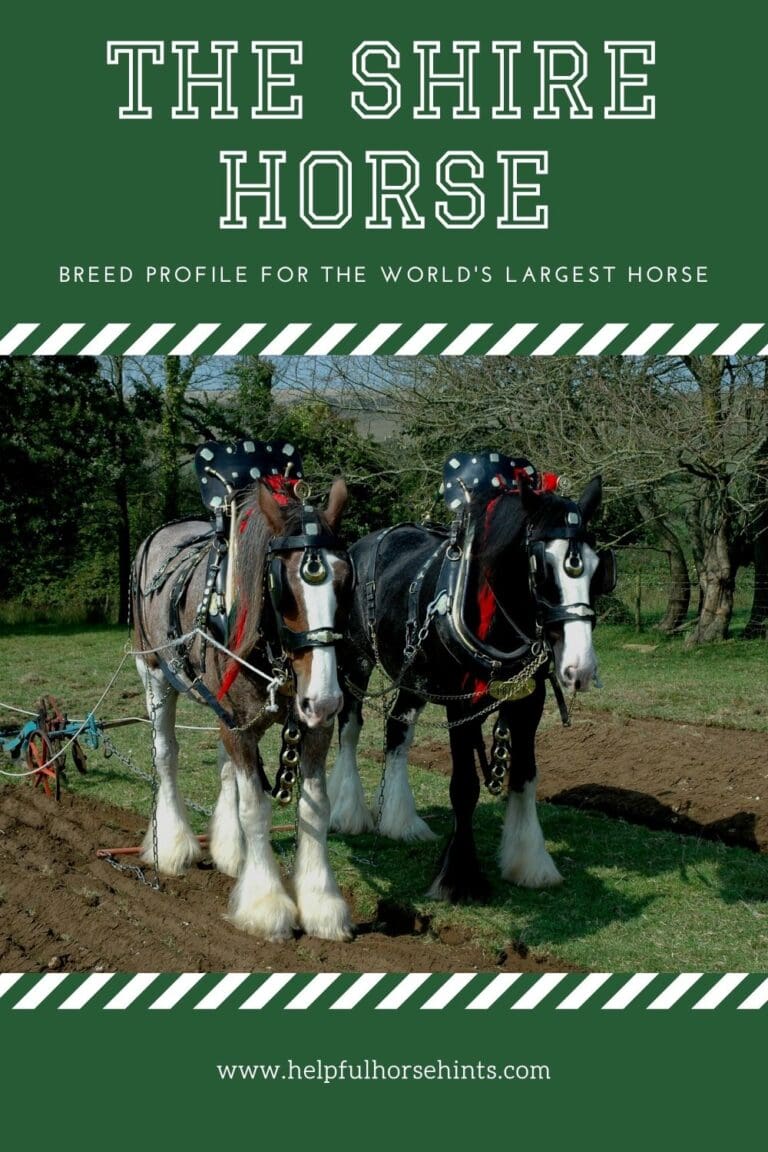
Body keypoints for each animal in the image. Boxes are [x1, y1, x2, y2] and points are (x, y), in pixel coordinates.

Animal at [131, 443, 353, 942]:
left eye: (345, 581)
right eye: (283, 589)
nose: (327, 700)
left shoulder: (309, 727)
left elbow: (316, 808)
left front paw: (321, 904)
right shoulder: (239, 724)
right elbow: (256, 809)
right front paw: (267, 904)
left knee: (225, 768)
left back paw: (231, 852)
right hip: (153, 672)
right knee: (166, 754)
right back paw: (171, 846)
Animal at [328, 452, 615, 903]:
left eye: (597, 567)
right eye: (543, 566)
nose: (580, 669)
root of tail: (362, 545)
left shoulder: (528, 701)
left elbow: (524, 776)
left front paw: (529, 862)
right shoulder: (460, 703)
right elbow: (464, 786)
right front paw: (459, 878)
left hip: (414, 674)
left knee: (397, 727)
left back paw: (400, 821)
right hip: (356, 662)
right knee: (351, 727)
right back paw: (349, 811)